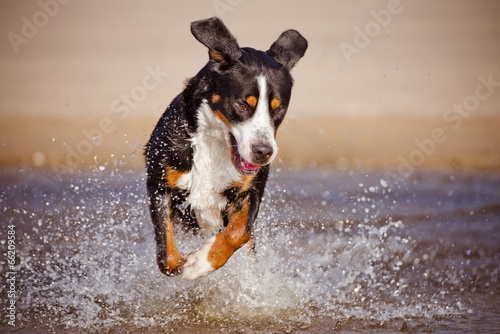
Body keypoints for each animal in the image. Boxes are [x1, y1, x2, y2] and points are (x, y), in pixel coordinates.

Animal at [145, 17, 306, 280]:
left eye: (278, 109)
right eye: (242, 105)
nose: (264, 152)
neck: (215, 144)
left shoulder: (250, 191)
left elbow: (239, 232)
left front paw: (201, 263)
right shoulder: (161, 183)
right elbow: (166, 255)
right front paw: (184, 264)